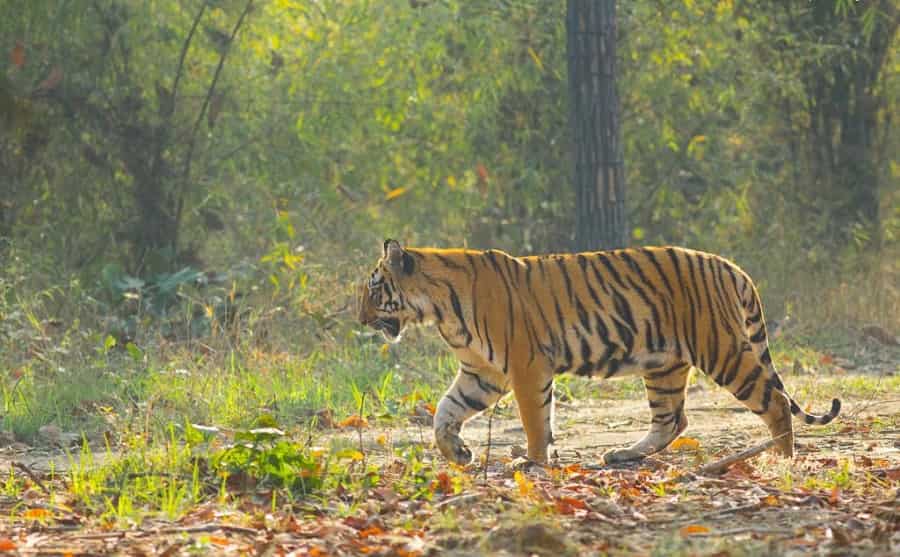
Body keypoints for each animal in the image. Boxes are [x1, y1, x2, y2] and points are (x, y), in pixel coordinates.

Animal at [358, 239, 840, 466]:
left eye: (374, 289)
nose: (360, 319)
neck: (438, 309)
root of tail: (732, 266)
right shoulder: (482, 374)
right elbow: (445, 412)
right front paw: (457, 453)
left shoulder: (525, 365)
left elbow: (535, 420)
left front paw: (533, 461)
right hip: (664, 363)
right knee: (672, 419)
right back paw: (625, 453)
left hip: (720, 349)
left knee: (773, 401)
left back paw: (781, 458)